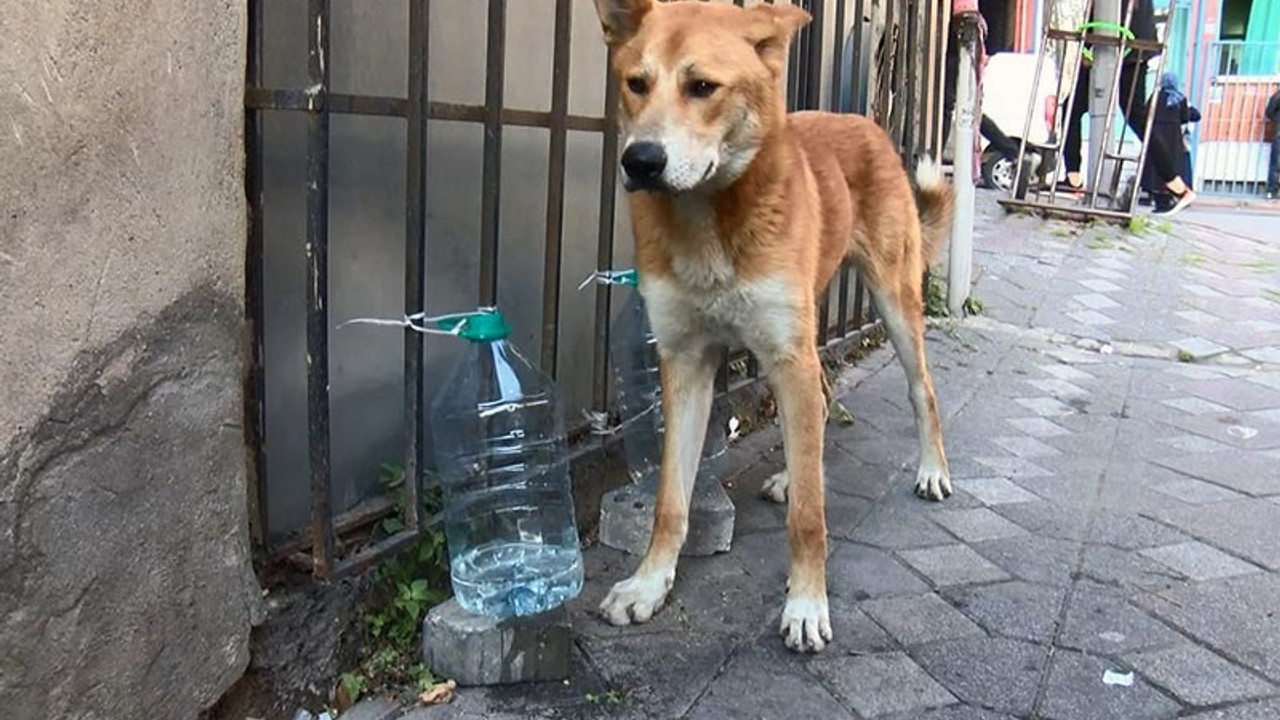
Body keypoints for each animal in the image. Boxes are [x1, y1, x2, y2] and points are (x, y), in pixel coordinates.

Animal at [588, 0, 952, 650]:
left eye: (702, 87)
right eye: (636, 83)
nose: (641, 161)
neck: (708, 220)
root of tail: (867, 122)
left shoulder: (787, 356)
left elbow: (809, 517)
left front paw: (806, 604)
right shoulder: (686, 363)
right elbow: (670, 501)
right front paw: (649, 584)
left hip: (891, 300)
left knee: (921, 391)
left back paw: (931, 470)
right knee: (823, 398)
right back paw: (791, 472)